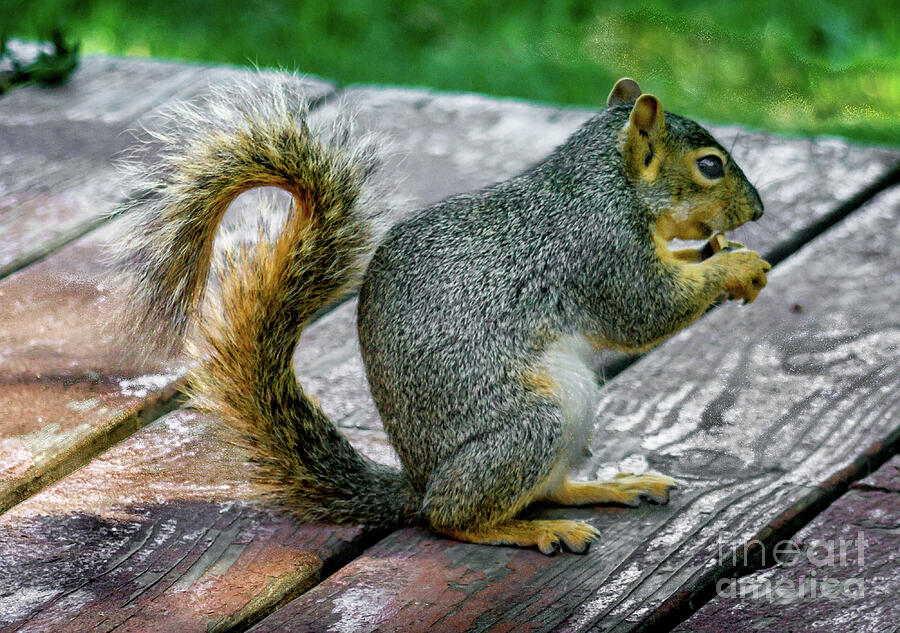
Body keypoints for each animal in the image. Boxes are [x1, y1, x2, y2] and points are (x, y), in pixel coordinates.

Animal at [116, 76, 768, 556]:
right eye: (710, 165)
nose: (759, 209)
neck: (604, 183)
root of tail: (418, 479)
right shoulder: (600, 251)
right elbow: (645, 312)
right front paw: (735, 268)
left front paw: (720, 255)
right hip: (531, 426)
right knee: (450, 517)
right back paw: (532, 529)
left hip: (573, 413)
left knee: (550, 488)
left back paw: (608, 486)